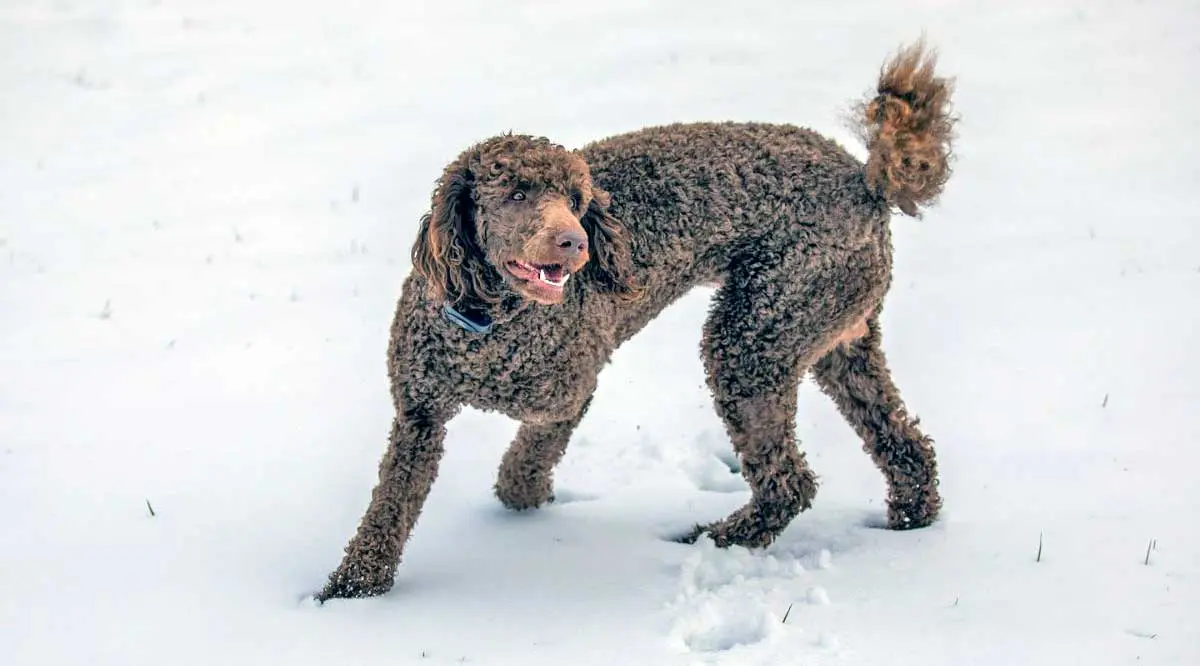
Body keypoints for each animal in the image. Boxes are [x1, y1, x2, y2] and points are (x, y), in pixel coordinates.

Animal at [319, 42, 955, 604]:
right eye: (517, 192)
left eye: (576, 200)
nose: (575, 243)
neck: (488, 324)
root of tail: (866, 181)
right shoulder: (420, 414)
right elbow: (390, 508)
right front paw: (354, 589)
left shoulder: (568, 392)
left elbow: (526, 460)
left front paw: (525, 498)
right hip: (835, 336)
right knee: (904, 443)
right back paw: (909, 521)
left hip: (756, 334)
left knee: (789, 482)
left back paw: (718, 539)